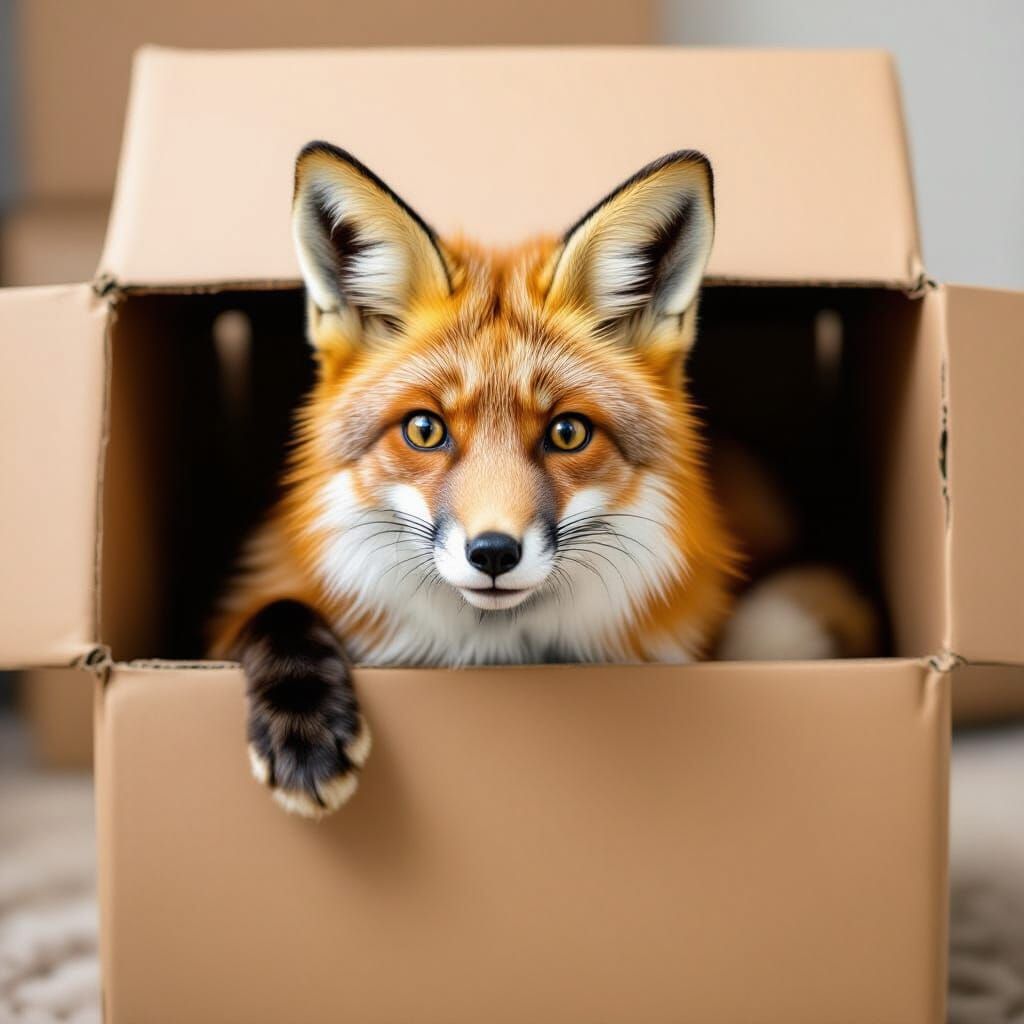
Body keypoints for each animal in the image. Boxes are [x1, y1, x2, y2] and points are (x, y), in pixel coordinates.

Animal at [212, 142, 875, 820]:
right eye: (424, 429)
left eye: (568, 433)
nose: (493, 553)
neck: (498, 654)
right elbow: (273, 610)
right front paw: (304, 727)